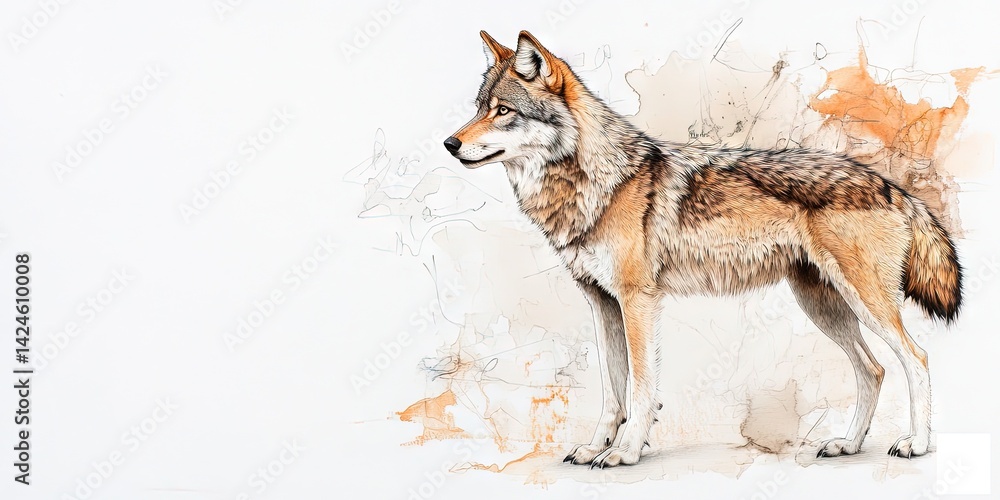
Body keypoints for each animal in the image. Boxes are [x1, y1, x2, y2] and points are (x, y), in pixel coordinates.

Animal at [443, 30, 962, 468]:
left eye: (503, 111)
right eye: (478, 107)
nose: (450, 143)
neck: (595, 184)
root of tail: (891, 185)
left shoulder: (638, 302)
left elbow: (640, 389)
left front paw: (624, 453)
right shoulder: (602, 303)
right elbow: (613, 391)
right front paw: (595, 447)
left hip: (864, 303)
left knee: (916, 359)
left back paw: (916, 444)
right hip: (822, 306)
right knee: (872, 370)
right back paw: (848, 444)